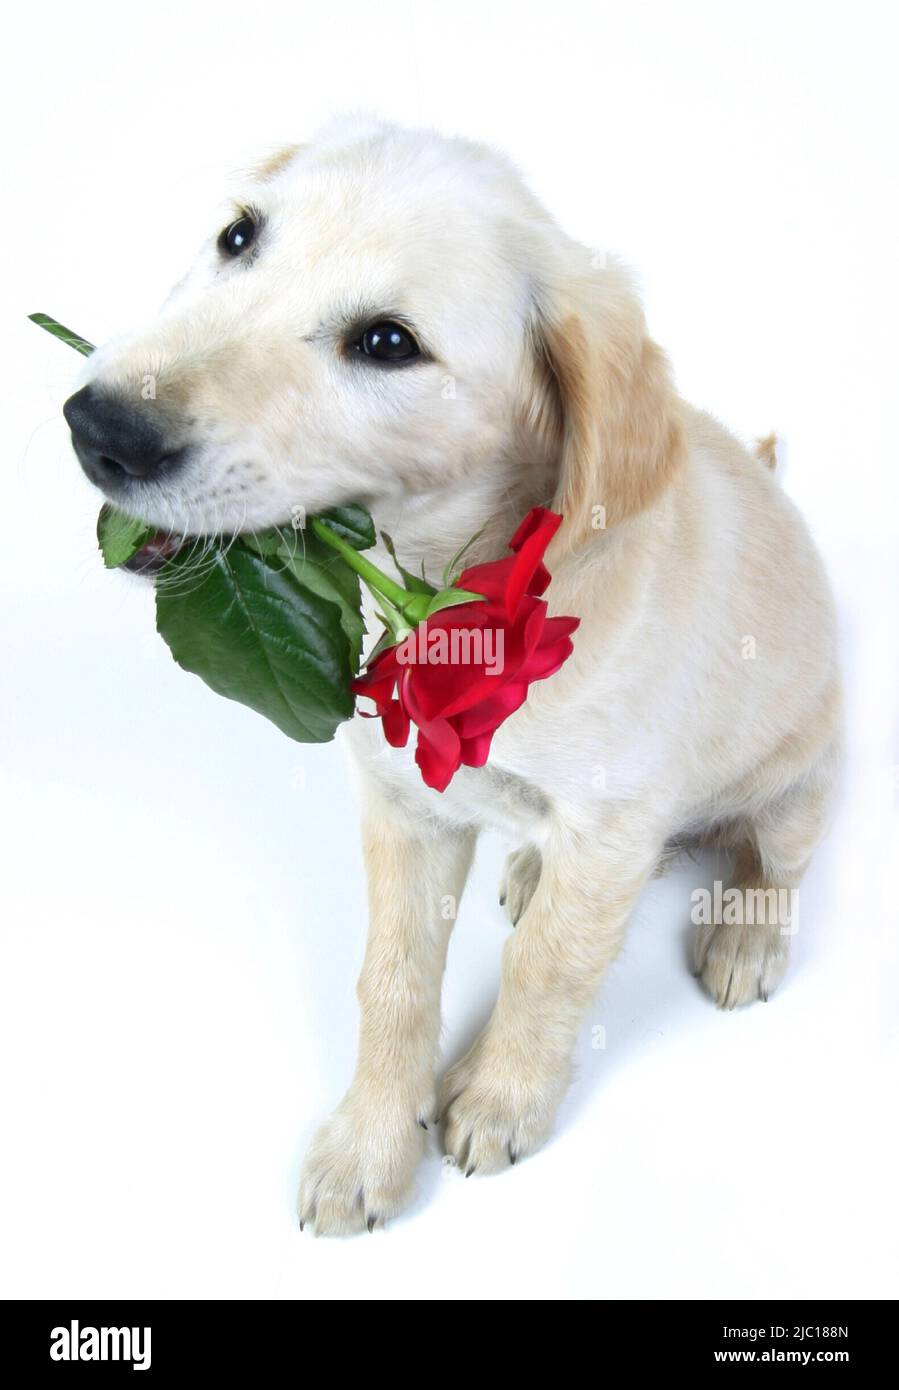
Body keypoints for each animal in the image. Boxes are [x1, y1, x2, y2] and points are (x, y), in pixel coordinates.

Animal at [64, 113, 844, 1234]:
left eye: (388, 343)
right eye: (238, 238)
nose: (100, 429)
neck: (448, 598)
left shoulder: (609, 822)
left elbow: (549, 969)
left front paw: (501, 1096)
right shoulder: (403, 805)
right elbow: (392, 980)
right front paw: (370, 1143)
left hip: (799, 768)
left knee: (777, 861)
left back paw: (745, 935)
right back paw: (527, 868)